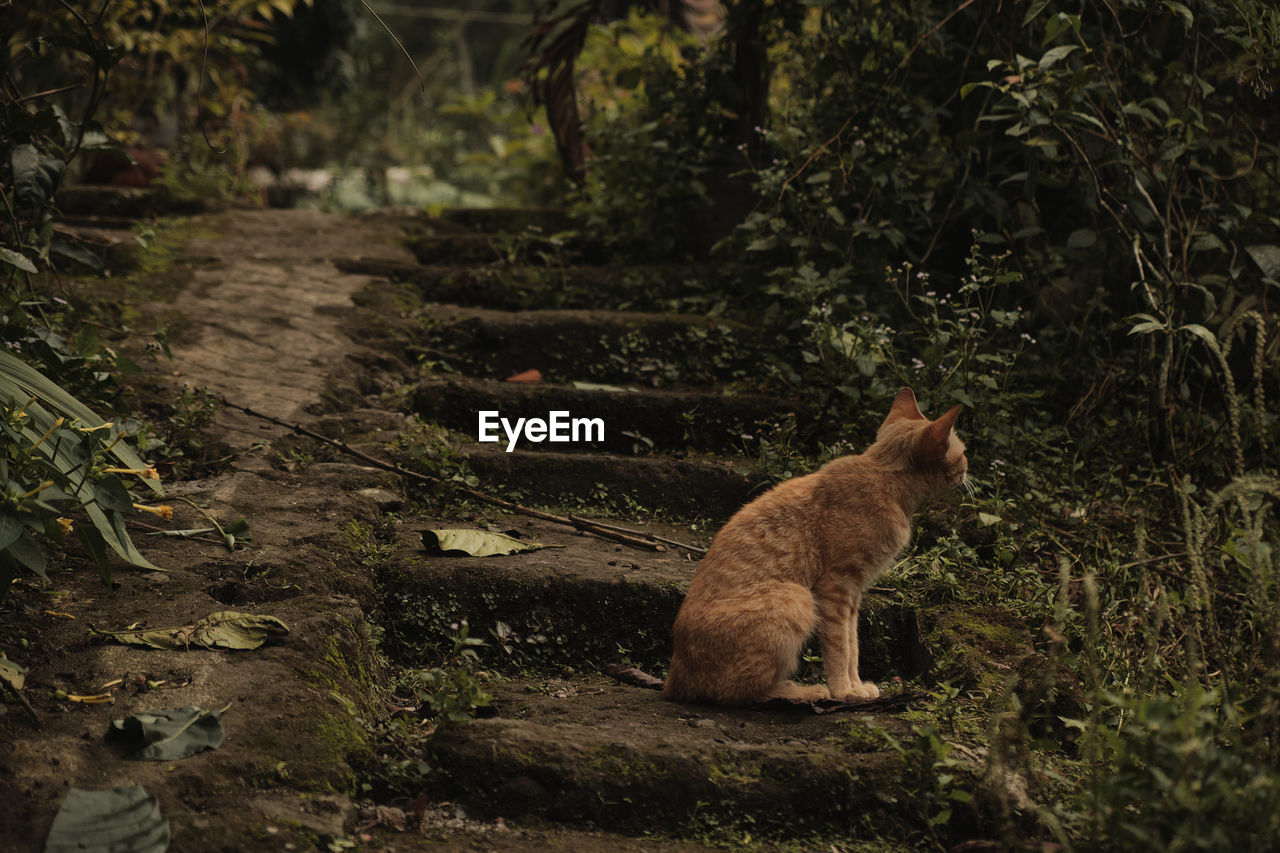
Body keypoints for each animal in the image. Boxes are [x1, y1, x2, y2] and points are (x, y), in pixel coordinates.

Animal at [665, 389, 962, 701]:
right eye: (964, 452)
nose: (968, 471)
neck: (886, 480)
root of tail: (673, 679)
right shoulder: (836, 586)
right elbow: (839, 647)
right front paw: (844, 691)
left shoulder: (854, 593)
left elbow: (853, 643)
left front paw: (855, 685)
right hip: (797, 598)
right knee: (741, 691)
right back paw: (803, 692)